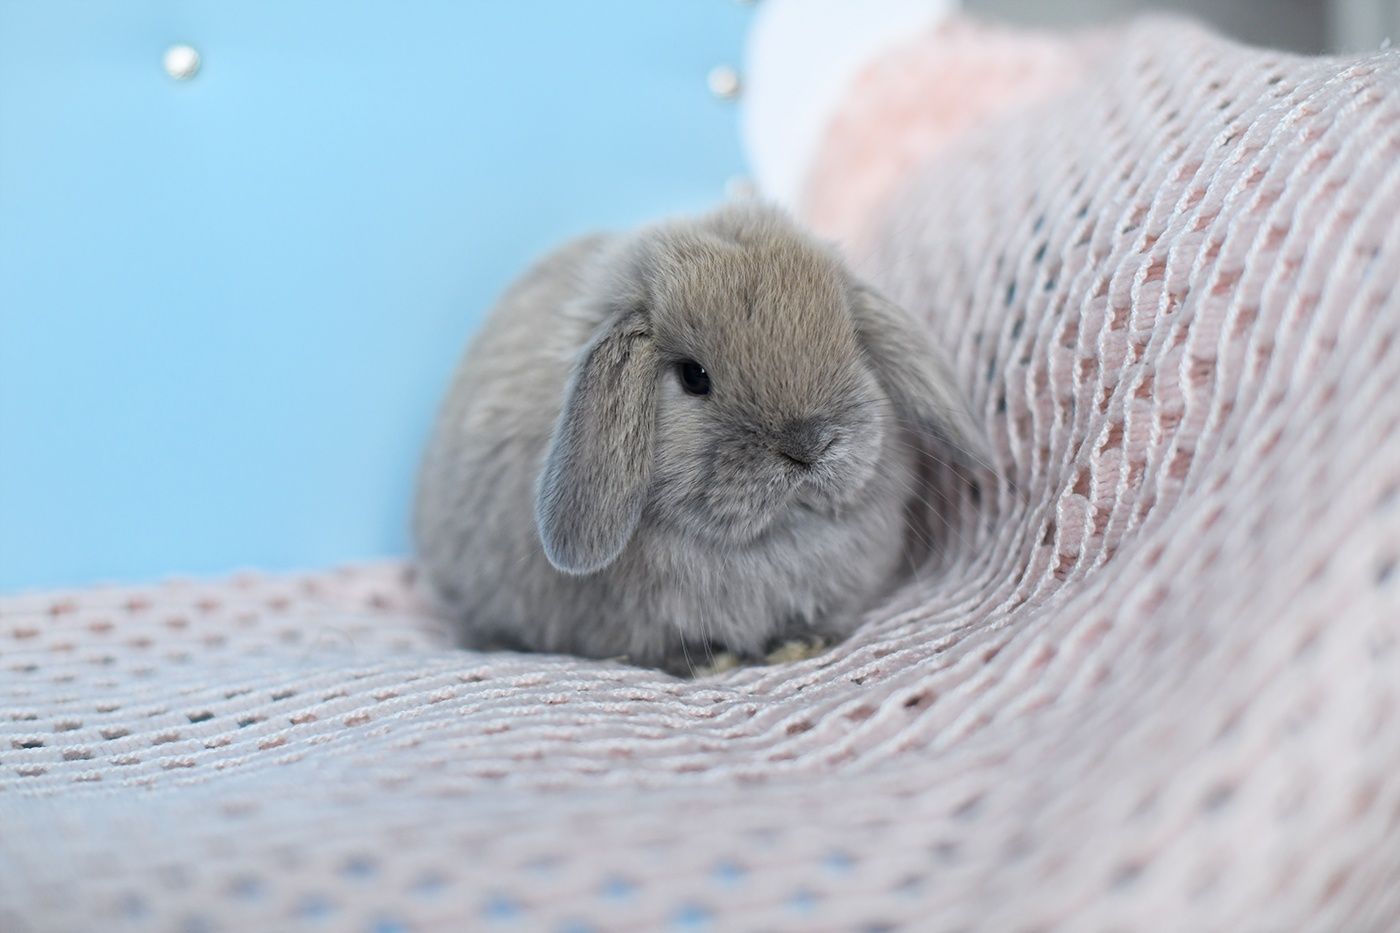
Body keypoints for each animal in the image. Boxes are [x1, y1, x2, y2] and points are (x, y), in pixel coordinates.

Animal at [408, 200, 991, 672]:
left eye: (851, 341)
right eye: (693, 377)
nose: (808, 445)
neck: (769, 539)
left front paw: (799, 644)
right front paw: (714, 662)